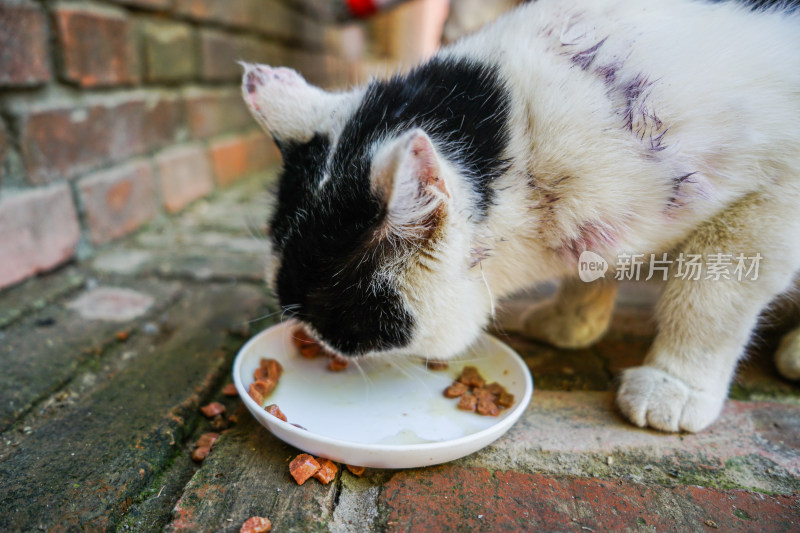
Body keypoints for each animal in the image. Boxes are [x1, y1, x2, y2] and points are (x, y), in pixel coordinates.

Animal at [242, 0, 800, 432]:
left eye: (339, 324)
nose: (314, 341)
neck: (521, 136)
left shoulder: (772, 197)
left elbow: (709, 300)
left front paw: (674, 386)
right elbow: (594, 267)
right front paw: (571, 321)